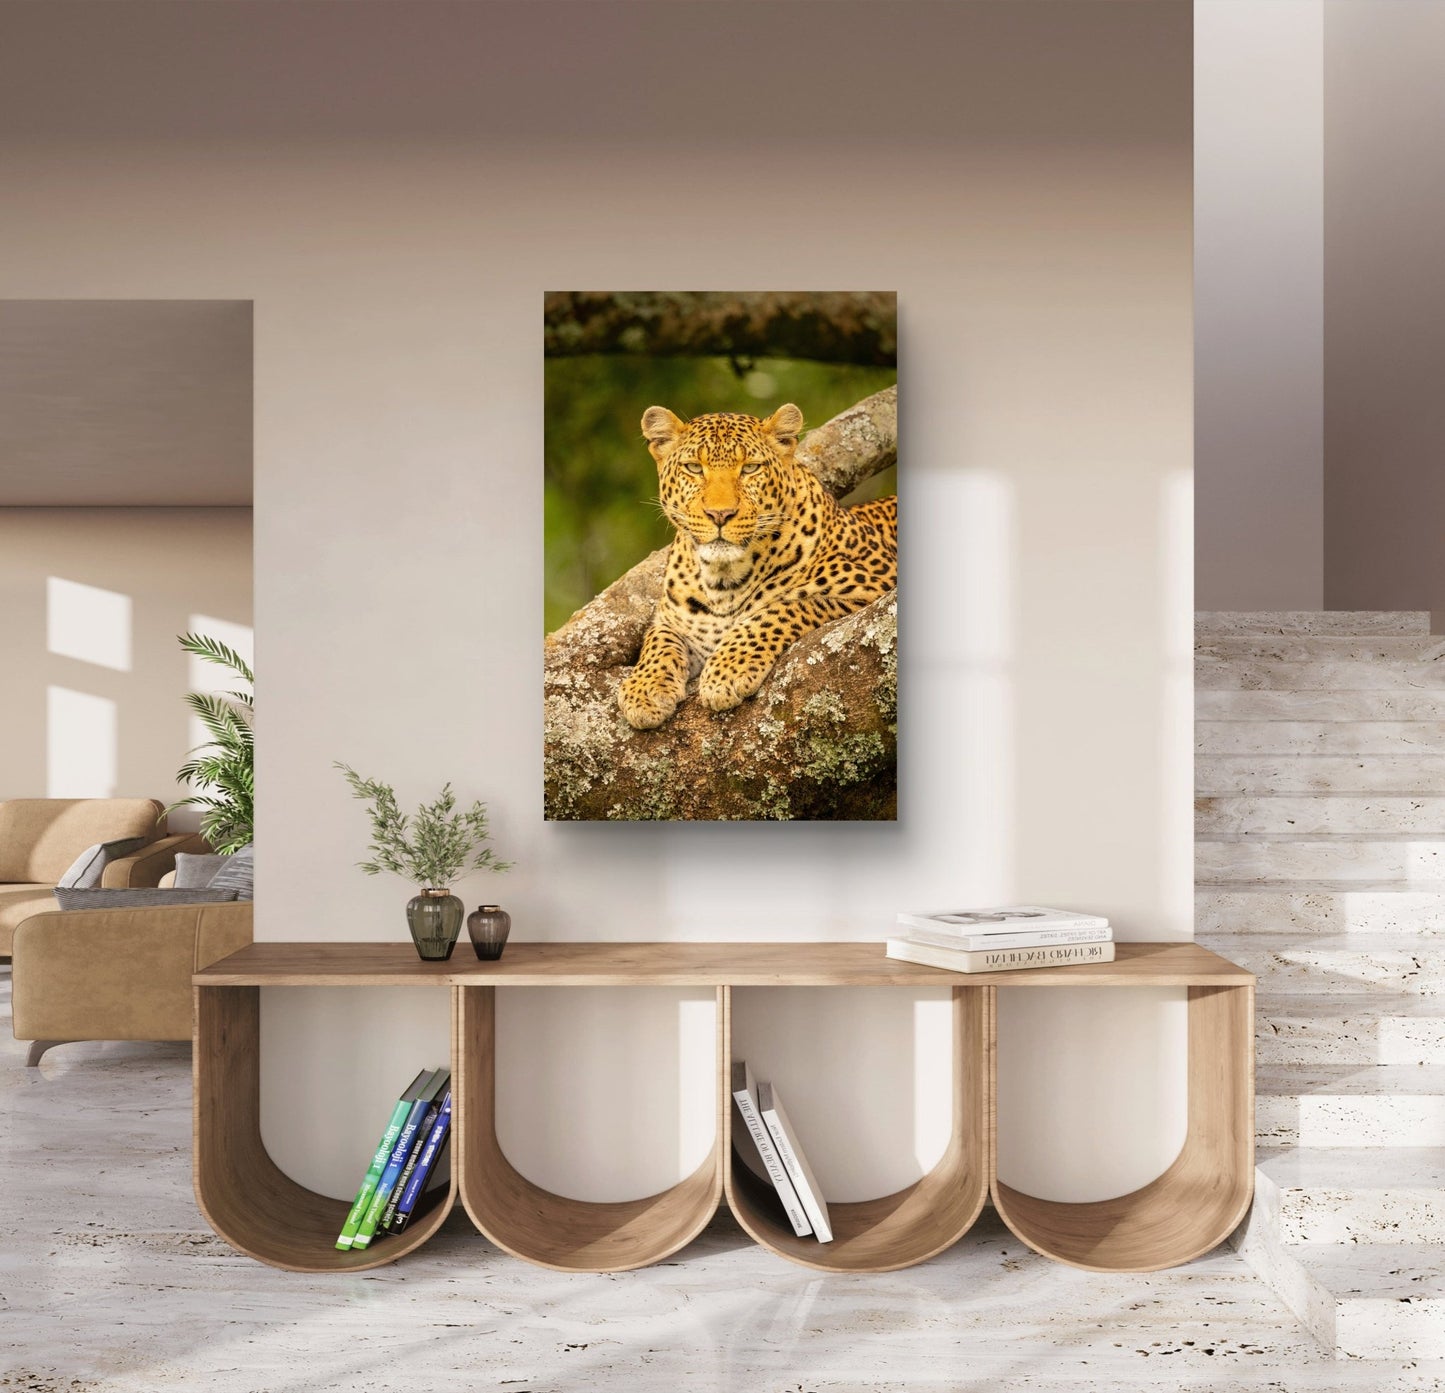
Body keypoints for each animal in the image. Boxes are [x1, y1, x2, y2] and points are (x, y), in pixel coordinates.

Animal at [617, 402, 898, 730]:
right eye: (694, 468)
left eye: (750, 468)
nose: (720, 514)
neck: (722, 579)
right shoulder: (673, 619)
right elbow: (658, 640)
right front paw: (644, 689)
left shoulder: (875, 581)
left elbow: (781, 609)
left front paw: (727, 670)